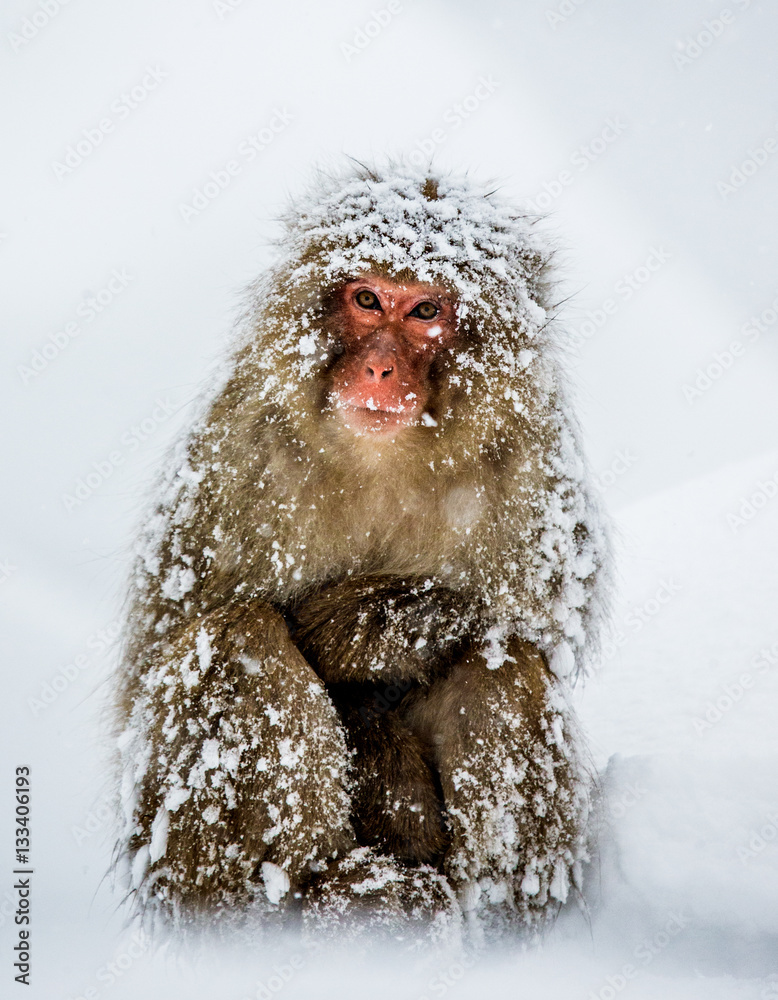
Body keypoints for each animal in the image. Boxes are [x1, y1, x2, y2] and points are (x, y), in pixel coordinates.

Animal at [113, 164, 610, 943]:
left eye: (425, 310)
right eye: (368, 299)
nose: (378, 368)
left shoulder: (534, 475)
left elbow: (534, 631)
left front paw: (381, 623)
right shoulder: (238, 456)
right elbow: (163, 653)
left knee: (503, 668)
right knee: (233, 641)